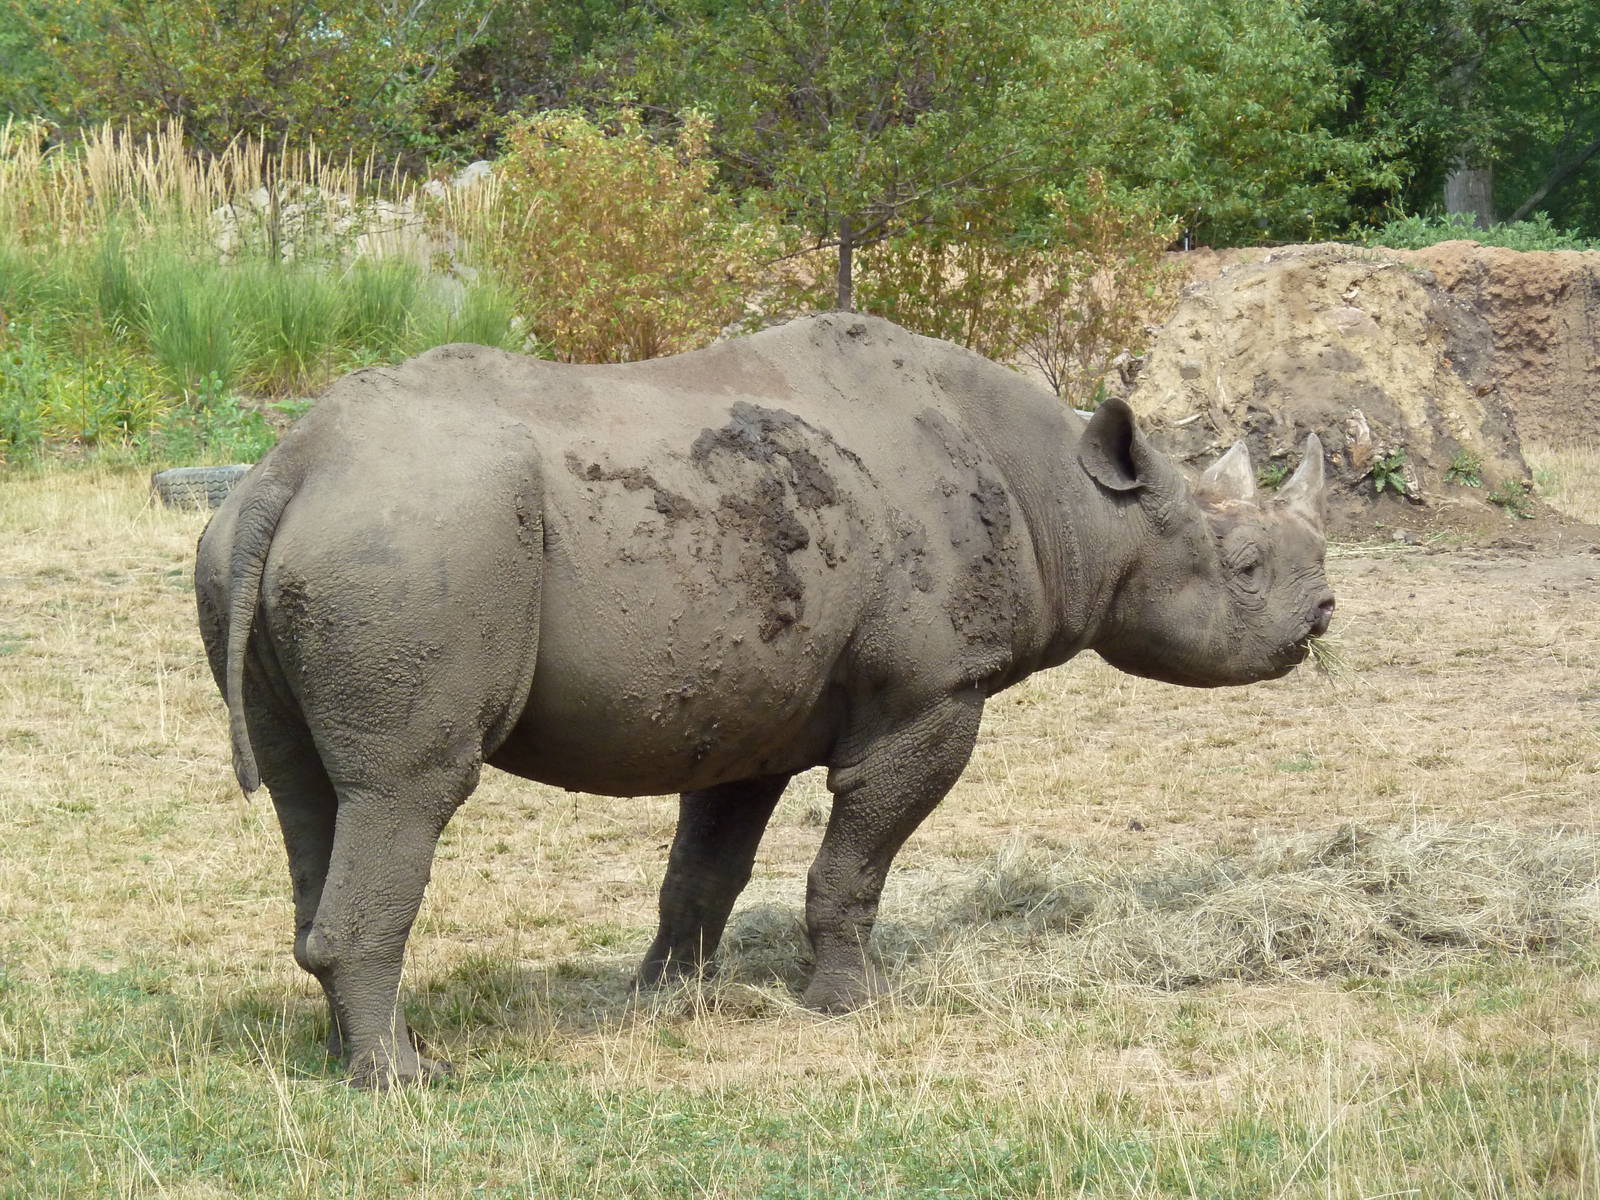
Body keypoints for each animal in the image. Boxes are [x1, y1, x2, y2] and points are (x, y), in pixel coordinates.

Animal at [195, 312, 1333, 1087]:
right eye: (1240, 568)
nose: (1321, 613)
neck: (1075, 501)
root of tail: (290, 469)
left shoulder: (745, 708)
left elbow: (706, 870)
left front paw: (668, 1004)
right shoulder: (932, 692)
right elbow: (855, 859)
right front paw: (852, 1009)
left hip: (308, 542)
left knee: (313, 795)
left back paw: (347, 1057)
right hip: (414, 542)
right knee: (410, 791)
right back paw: (407, 1081)